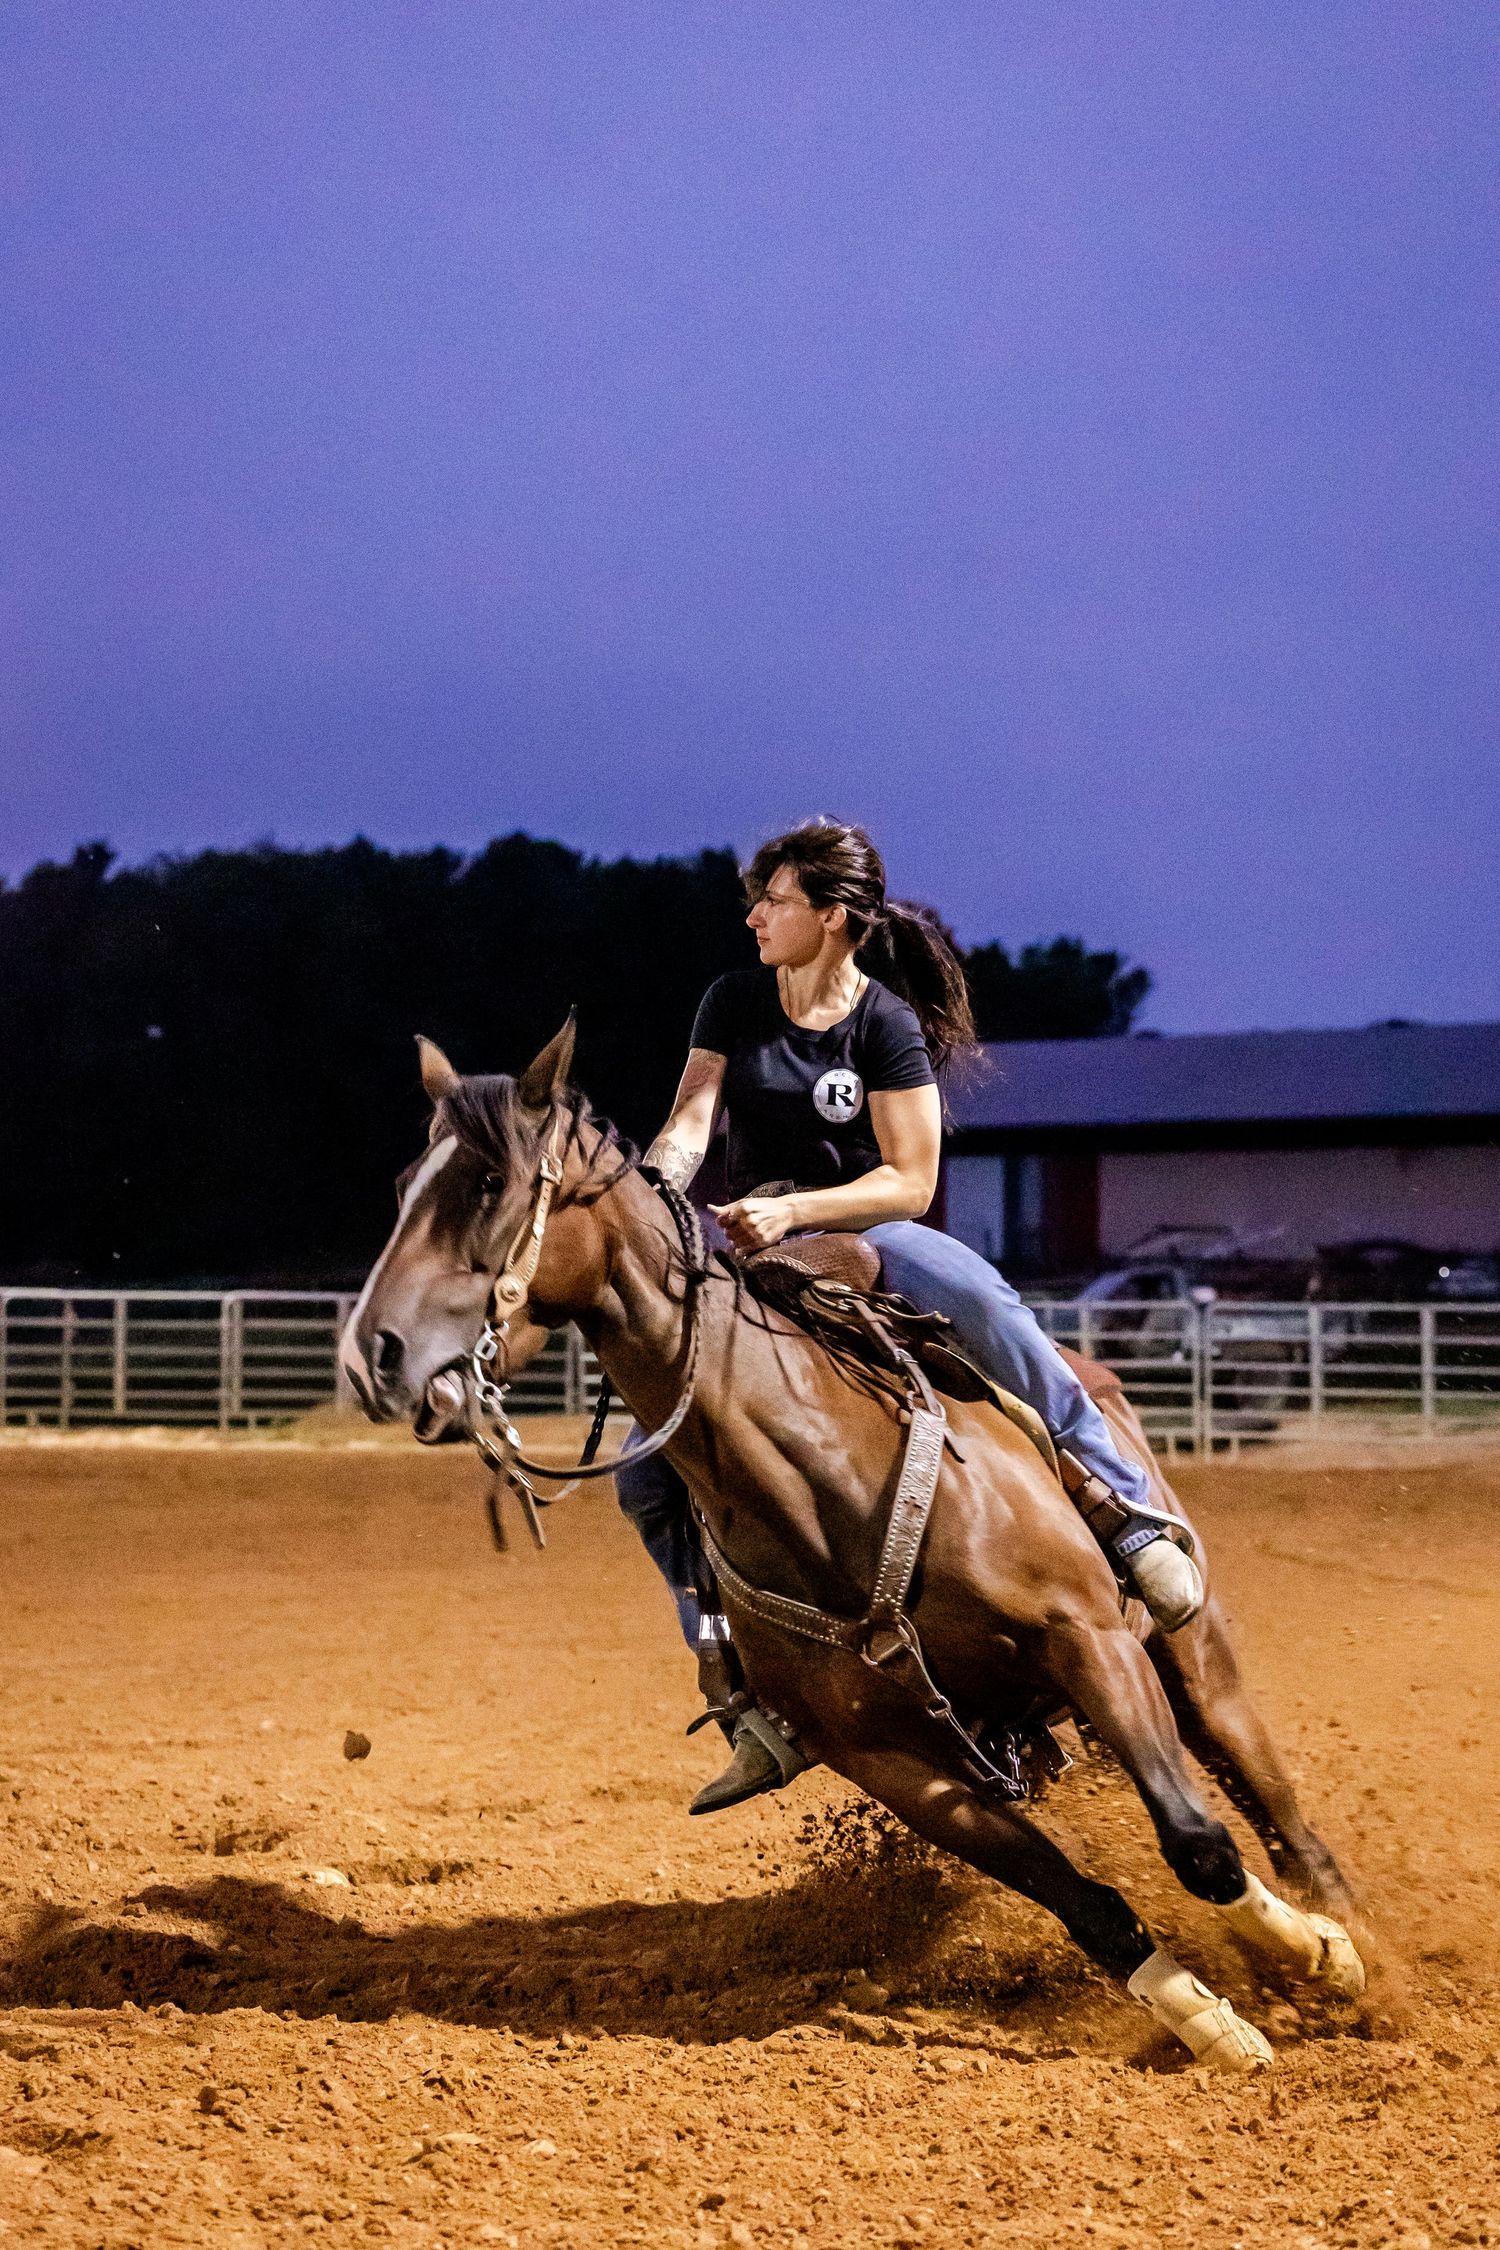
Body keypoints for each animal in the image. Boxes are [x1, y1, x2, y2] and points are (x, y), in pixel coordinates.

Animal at [339, 1020, 1365, 2072]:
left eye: (489, 1182)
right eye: (406, 1183)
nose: (372, 1355)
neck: (829, 1479)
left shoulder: (1086, 1639)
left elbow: (1199, 1843)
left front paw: (1314, 1958)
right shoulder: (895, 1764)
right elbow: (1084, 1902)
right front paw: (1205, 2018)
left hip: (1189, 1656)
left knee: (1278, 1813)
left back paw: (1349, 1944)